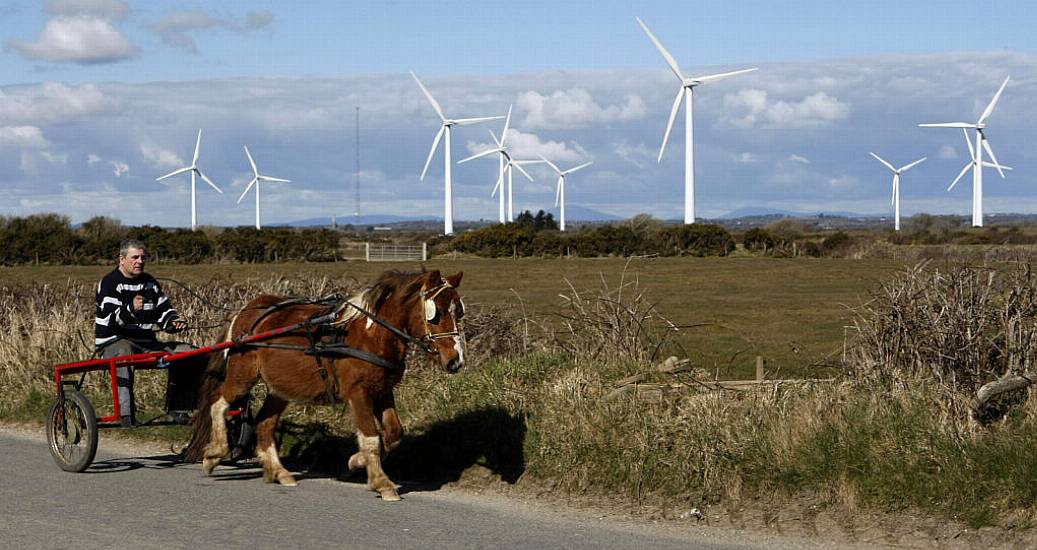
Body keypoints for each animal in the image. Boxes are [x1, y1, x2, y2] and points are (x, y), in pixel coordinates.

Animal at [184, 267, 464, 498]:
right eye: (435, 314)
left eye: (458, 312)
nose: (455, 361)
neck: (371, 335)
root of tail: (249, 309)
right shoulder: (358, 394)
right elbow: (371, 437)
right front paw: (381, 482)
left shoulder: (383, 392)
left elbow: (394, 433)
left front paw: (356, 461)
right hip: (243, 375)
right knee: (219, 403)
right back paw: (215, 453)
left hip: (280, 388)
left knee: (264, 423)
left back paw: (277, 471)